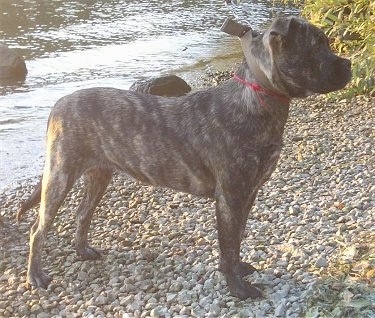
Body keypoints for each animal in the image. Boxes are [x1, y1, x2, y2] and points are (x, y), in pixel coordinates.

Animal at [17, 16, 352, 300]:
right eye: (317, 46)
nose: (349, 65)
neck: (257, 99)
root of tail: (59, 104)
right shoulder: (231, 197)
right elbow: (229, 244)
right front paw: (237, 288)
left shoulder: (248, 194)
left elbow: (237, 239)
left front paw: (238, 270)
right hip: (60, 176)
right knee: (37, 229)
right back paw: (35, 276)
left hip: (98, 175)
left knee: (82, 214)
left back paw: (82, 251)